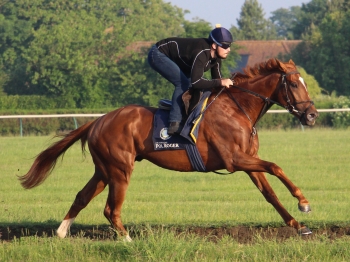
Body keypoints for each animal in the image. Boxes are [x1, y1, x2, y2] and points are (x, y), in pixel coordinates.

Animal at [19, 58, 320, 241]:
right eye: (294, 84)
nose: (312, 115)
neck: (238, 108)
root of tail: (98, 121)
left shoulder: (248, 160)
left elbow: (270, 193)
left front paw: (297, 224)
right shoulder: (235, 159)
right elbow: (276, 167)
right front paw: (303, 202)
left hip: (104, 169)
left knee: (82, 196)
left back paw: (61, 232)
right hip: (120, 169)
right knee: (110, 209)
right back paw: (127, 239)